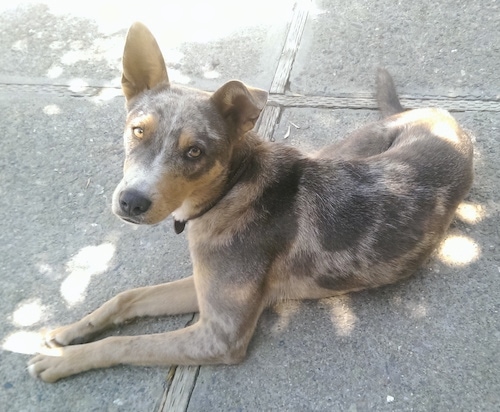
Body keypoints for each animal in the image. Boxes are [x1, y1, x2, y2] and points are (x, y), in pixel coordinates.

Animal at [27, 23, 472, 384]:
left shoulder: (220, 334)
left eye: (195, 152)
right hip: (346, 148)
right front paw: (67, 333)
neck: (230, 194)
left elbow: (125, 344)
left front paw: (63, 360)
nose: (131, 202)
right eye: (138, 130)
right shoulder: (204, 288)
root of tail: (443, 117)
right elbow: (127, 297)